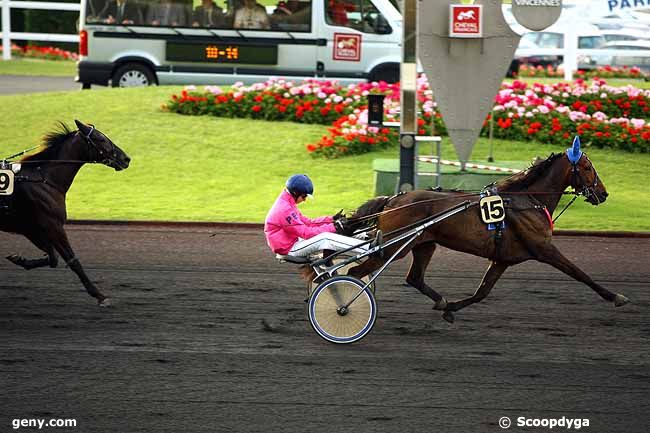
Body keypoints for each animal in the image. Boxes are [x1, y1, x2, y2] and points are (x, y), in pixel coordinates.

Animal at [0, 120, 130, 306]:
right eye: (100, 138)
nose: (126, 159)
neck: (44, 180)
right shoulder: (54, 226)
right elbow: (72, 260)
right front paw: (99, 295)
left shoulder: (31, 229)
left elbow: (52, 257)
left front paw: (19, 259)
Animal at [340, 138, 628, 320]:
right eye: (588, 168)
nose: (604, 194)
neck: (528, 201)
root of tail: (394, 199)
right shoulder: (544, 249)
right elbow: (580, 273)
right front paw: (616, 296)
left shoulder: (502, 259)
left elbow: (481, 293)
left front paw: (450, 308)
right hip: (395, 247)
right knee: (356, 272)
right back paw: (344, 300)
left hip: (424, 244)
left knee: (415, 278)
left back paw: (440, 300)